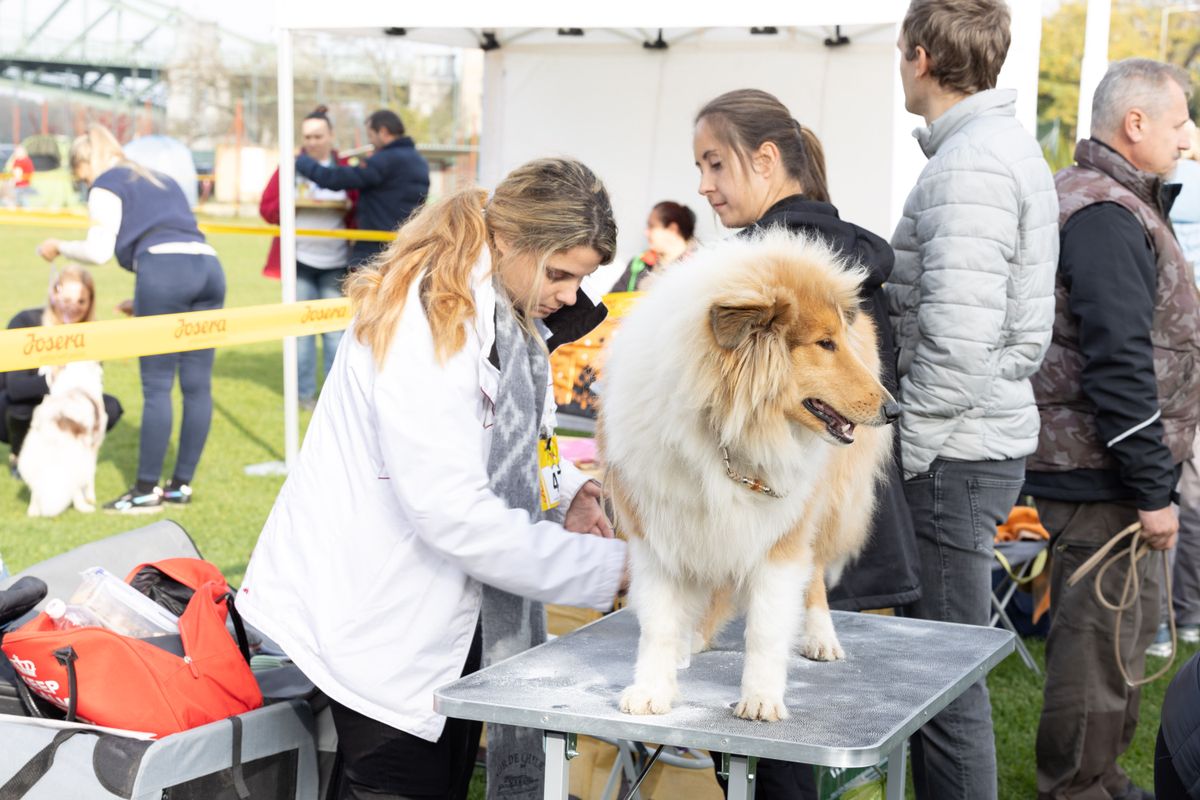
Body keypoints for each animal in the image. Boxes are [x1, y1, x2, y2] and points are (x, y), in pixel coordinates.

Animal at [19, 362, 106, 520]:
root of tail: (52, 422)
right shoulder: (93, 446)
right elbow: (90, 478)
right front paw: (91, 497)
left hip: (33, 456)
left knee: (36, 485)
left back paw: (33, 511)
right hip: (75, 455)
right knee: (74, 484)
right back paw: (84, 507)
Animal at [600, 227, 902, 724]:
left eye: (838, 340)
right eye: (825, 344)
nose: (894, 410)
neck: (725, 429)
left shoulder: (781, 534)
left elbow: (766, 629)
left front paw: (760, 699)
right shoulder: (659, 529)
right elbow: (659, 623)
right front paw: (651, 691)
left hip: (824, 505)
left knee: (815, 575)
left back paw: (820, 637)